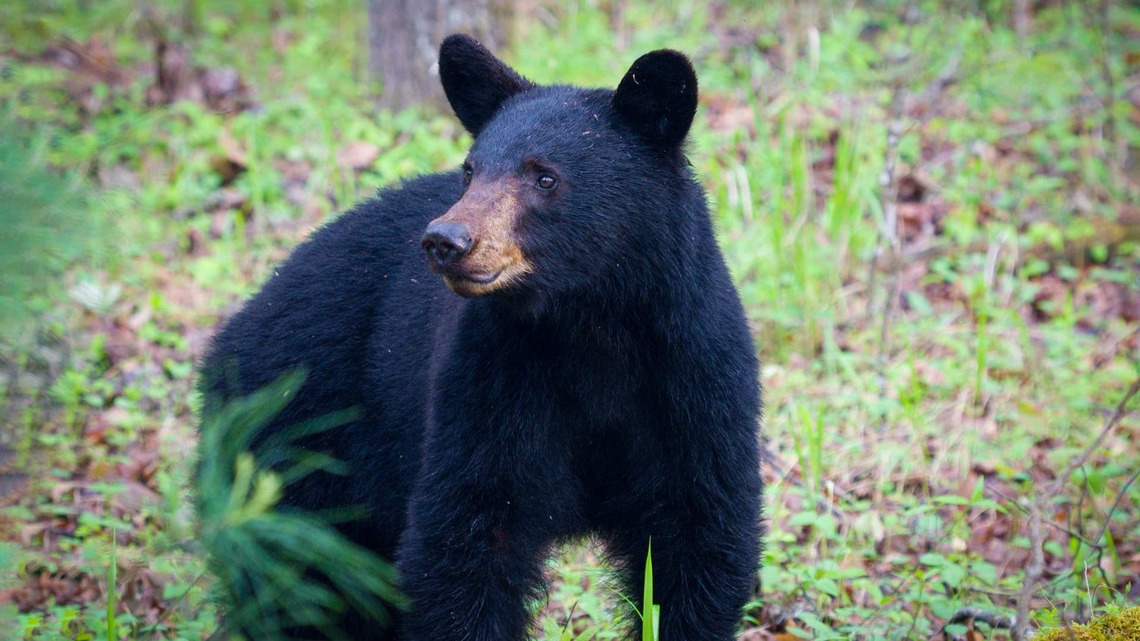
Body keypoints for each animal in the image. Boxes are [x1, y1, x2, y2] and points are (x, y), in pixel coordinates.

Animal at [199, 34, 763, 641]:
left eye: (544, 177)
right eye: (470, 171)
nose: (446, 240)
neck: (589, 322)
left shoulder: (693, 373)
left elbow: (698, 533)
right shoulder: (492, 377)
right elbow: (465, 536)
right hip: (297, 434)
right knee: (297, 577)